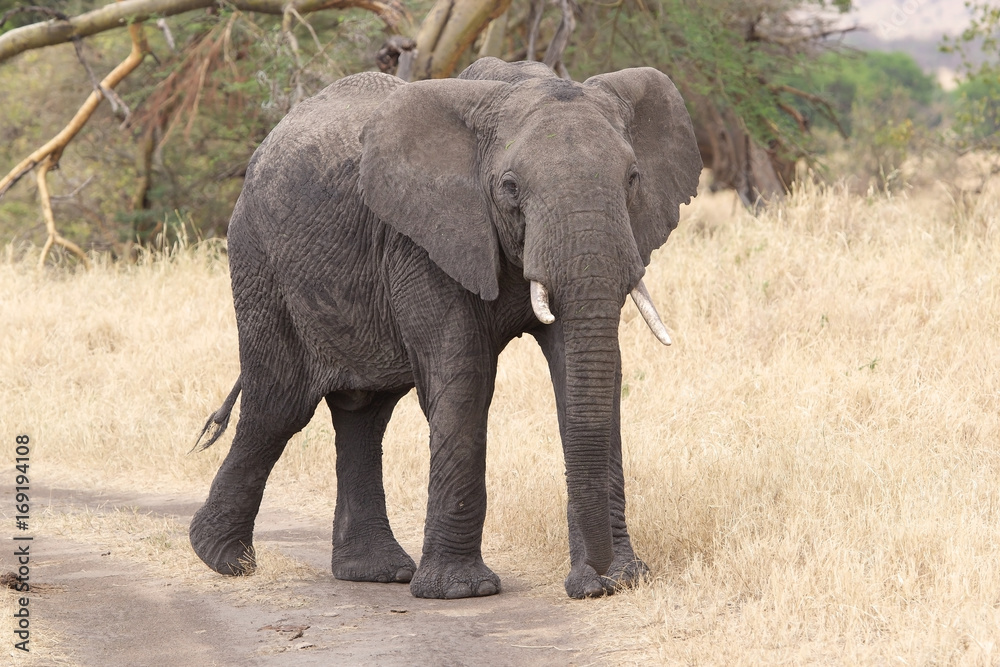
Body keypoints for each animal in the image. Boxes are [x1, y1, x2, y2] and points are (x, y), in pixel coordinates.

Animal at [189, 57, 701, 600]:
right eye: (510, 187)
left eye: (633, 178)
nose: (594, 583)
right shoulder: (421, 240)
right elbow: (464, 378)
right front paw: (461, 591)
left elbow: (586, 380)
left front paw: (623, 579)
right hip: (257, 260)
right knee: (278, 405)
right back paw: (224, 559)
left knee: (363, 412)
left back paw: (375, 571)